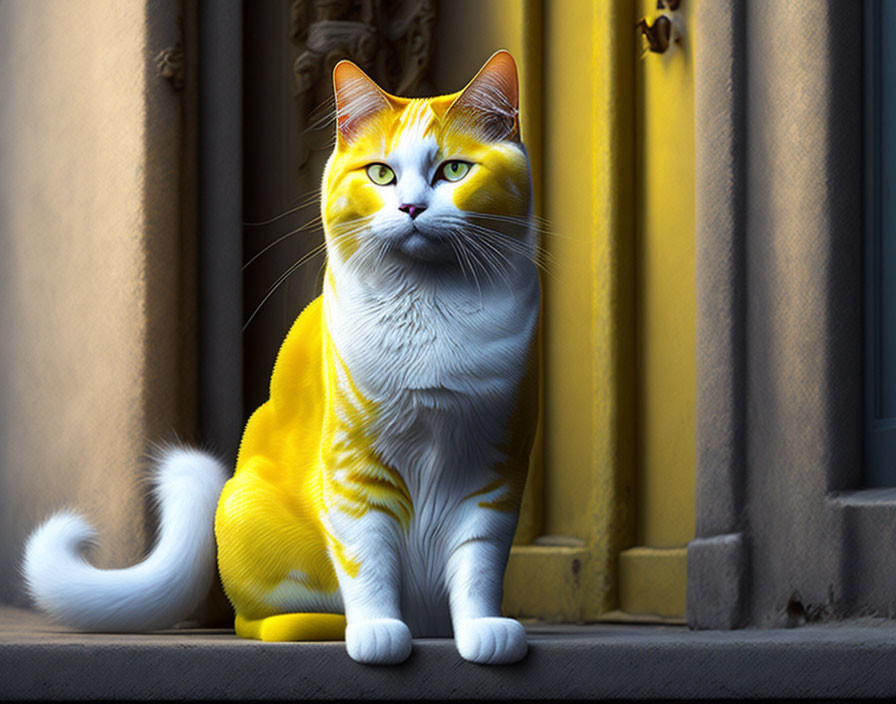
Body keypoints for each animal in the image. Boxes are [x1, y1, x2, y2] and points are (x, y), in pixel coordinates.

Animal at [22, 49, 540, 664]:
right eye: (381, 174)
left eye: (455, 171)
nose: (412, 207)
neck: (431, 311)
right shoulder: (352, 469)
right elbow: (368, 560)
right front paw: (376, 630)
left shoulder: (494, 469)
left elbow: (478, 561)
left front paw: (484, 629)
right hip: (246, 507)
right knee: (253, 621)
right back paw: (314, 625)